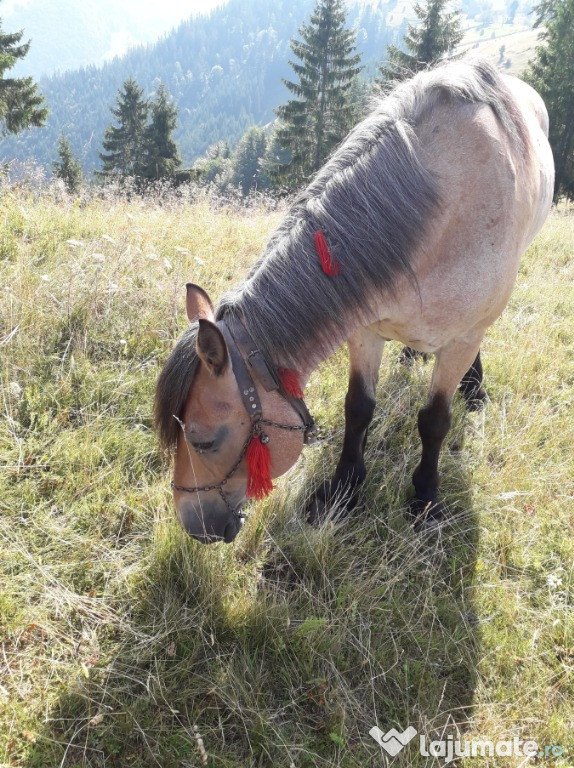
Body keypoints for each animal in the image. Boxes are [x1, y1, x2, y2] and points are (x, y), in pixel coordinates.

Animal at [155, 60, 556, 544]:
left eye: (203, 441)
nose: (194, 526)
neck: (437, 217)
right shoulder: (364, 330)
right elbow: (358, 407)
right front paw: (344, 487)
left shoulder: (461, 338)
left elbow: (434, 420)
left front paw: (425, 498)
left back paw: (473, 386)